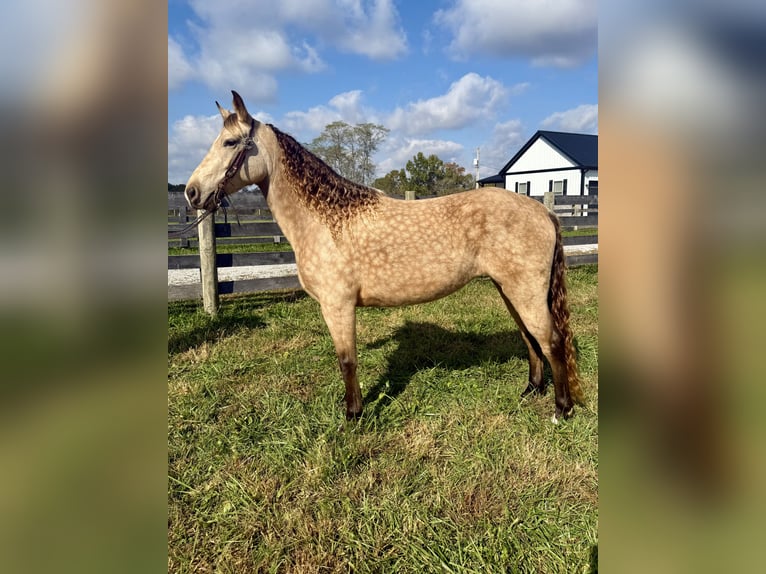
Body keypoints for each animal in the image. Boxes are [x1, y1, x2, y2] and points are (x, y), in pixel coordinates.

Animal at [184, 91, 585, 423]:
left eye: (230, 142)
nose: (191, 192)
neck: (327, 220)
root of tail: (542, 210)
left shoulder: (338, 305)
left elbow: (347, 360)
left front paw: (353, 415)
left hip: (524, 291)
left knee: (551, 341)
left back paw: (561, 410)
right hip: (509, 289)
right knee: (530, 339)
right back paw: (531, 390)